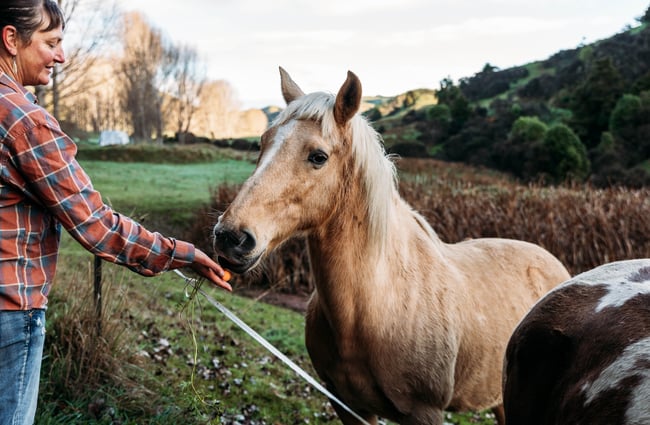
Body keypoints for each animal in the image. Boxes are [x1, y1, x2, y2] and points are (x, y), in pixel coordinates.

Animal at [212, 67, 571, 425]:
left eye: (318, 157)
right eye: (262, 143)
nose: (231, 237)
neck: (378, 305)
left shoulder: (425, 413)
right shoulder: (349, 407)